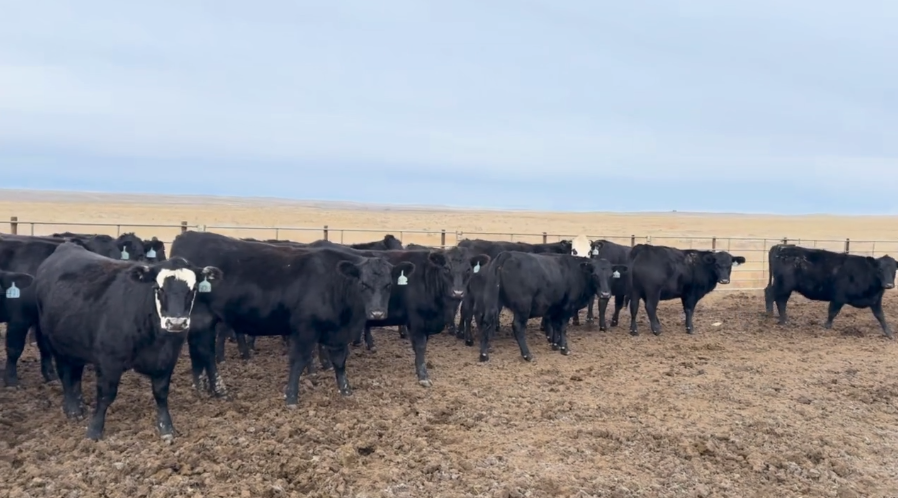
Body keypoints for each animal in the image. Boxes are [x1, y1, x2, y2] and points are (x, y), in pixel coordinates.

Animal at [34, 242, 222, 440]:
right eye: (158, 288)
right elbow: (106, 395)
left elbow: (161, 393)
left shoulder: (168, 359)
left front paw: (166, 428)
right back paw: (73, 409)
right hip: (56, 343)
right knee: (65, 375)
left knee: (75, 375)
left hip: (75, 345)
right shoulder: (109, 361)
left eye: (193, 290)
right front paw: (94, 430)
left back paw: (79, 405)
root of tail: (67, 246)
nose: (176, 322)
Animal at [169, 231, 415, 406]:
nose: (377, 313)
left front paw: (345, 391)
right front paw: (291, 397)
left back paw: (201, 387)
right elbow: (299, 360)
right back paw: (219, 390)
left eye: (388, 284)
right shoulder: (305, 328)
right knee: (206, 352)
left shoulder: (336, 332)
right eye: (363, 284)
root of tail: (187, 236)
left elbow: (339, 360)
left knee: (200, 351)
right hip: (202, 318)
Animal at [475, 251, 627, 361]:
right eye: (595, 274)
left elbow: (555, 326)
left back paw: (484, 355)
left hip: (494, 302)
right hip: (523, 306)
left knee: (486, 322)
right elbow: (562, 327)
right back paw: (527, 355)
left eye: (611, 275)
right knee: (517, 327)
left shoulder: (555, 308)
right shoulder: (567, 307)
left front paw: (555, 344)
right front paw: (564, 348)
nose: (605, 294)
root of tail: (506, 255)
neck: (577, 272)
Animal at [764, 244, 897, 337]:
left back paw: (784, 320)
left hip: (786, 287)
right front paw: (826, 327)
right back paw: (770, 315)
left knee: (780, 300)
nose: (889, 285)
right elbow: (832, 312)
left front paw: (889, 333)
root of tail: (781, 247)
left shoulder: (875, 301)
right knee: (770, 294)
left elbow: (881, 316)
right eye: (879, 269)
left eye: (895, 270)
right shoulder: (838, 297)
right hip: (783, 285)